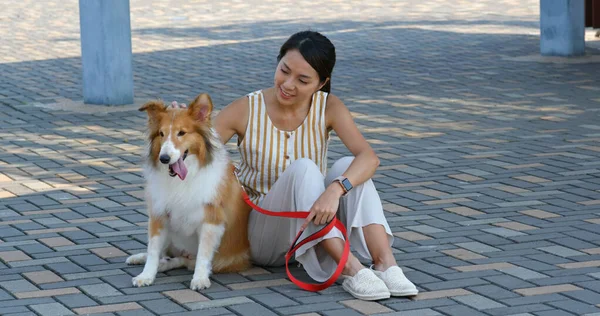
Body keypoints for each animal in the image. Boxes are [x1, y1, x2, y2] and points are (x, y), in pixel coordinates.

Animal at [125, 92, 250, 290]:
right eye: (161, 134)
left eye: (182, 133)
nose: (164, 158)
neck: (183, 179)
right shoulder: (159, 214)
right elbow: (153, 250)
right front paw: (146, 275)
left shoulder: (211, 220)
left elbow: (203, 255)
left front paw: (200, 279)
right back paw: (141, 258)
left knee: (185, 260)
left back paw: (166, 264)